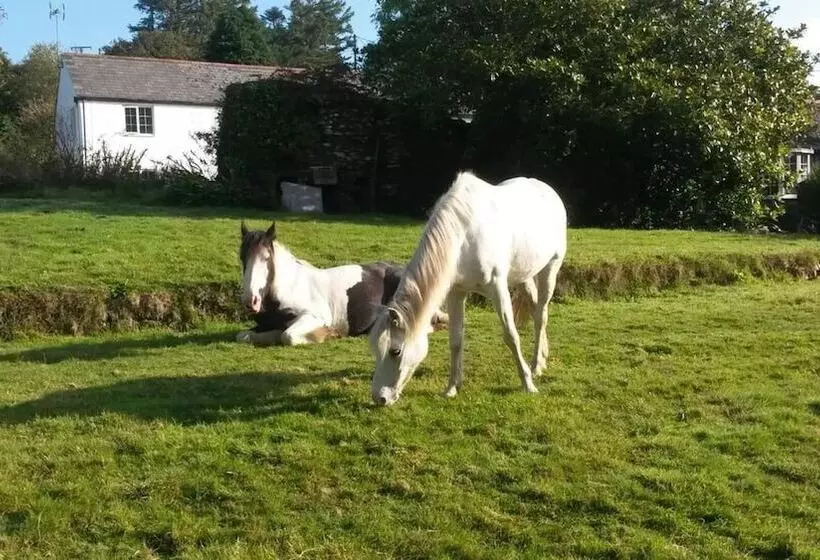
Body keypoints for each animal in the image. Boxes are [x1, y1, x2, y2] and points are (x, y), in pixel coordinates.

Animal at [237, 221, 449, 346]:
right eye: (242, 258)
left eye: (266, 258)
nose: (250, 301)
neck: (288, 288)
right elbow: (244, 335)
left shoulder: (314, 317)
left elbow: (287, 336)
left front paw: (330, 334)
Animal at [368, 170, 567, 406]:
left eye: (395, 351)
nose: (379, 397)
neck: (463, 238)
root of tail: (548, 191)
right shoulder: (456, 293)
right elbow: (456, 340)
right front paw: (451, 388)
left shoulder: (497, 287)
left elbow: (511, 335)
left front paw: (528, 384)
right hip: (524, 277)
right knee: (536, 309)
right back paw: (542, 358)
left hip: (550, 268)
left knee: (541, 316)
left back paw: (536, 366)